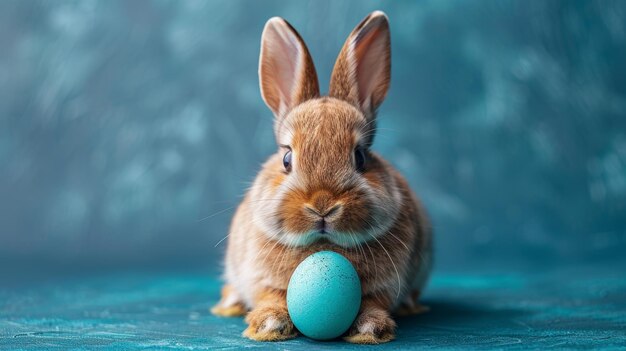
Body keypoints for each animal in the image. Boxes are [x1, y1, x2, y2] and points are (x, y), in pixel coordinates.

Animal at [212, 11, 432, 346]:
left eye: (360, 157)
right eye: (287, 159)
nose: (322, 205)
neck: (323, 248)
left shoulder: (384, 287)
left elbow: (374, 303)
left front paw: (370, 329)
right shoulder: (262, 279)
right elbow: (271, 296)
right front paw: (268, 325)